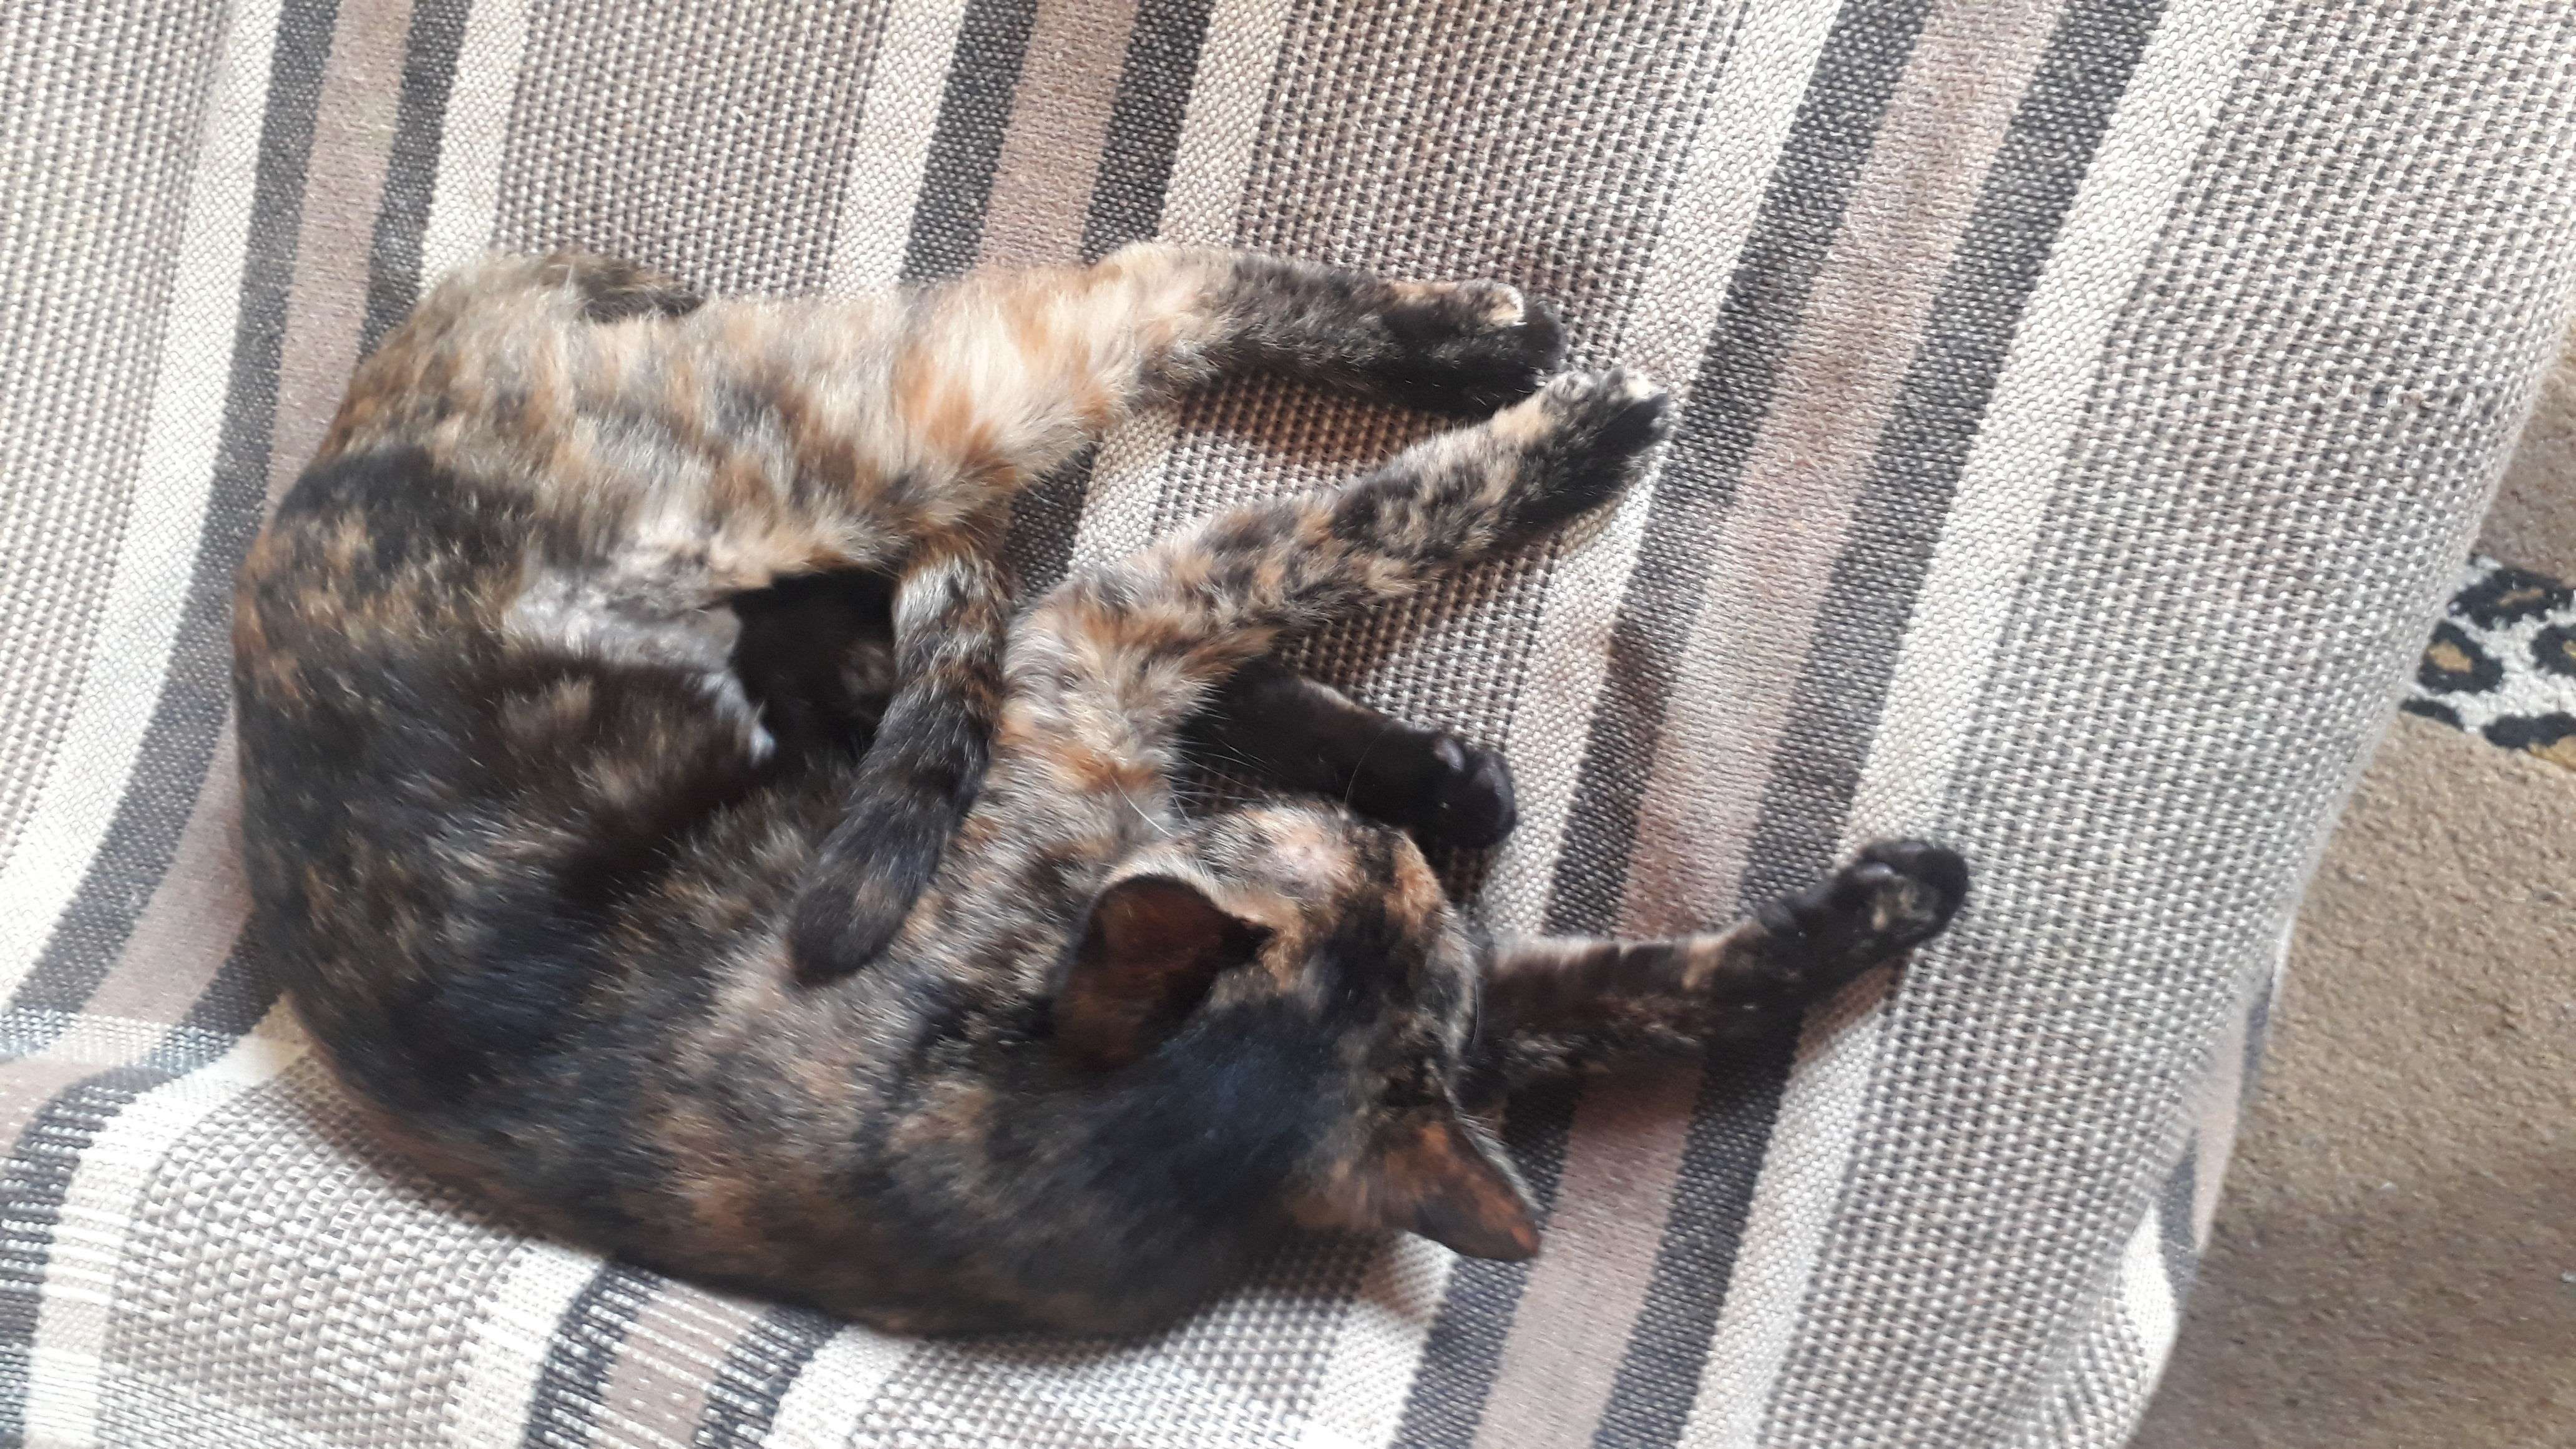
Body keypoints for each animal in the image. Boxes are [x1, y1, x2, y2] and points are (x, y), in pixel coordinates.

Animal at [232, 245, 1968, 1336]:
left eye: (1402, 901)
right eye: (1343, 862)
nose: (1405, 846)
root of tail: (393, 372)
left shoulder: (1476, 1013)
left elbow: (1660, 987)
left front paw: (1891, 901)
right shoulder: (1114, 649)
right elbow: (1319, 540)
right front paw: (1535, 455)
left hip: (835, 595)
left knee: (940, 601)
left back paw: (1452, 763)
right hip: (876, 448)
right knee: (1146, 292)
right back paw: (1508, 372)